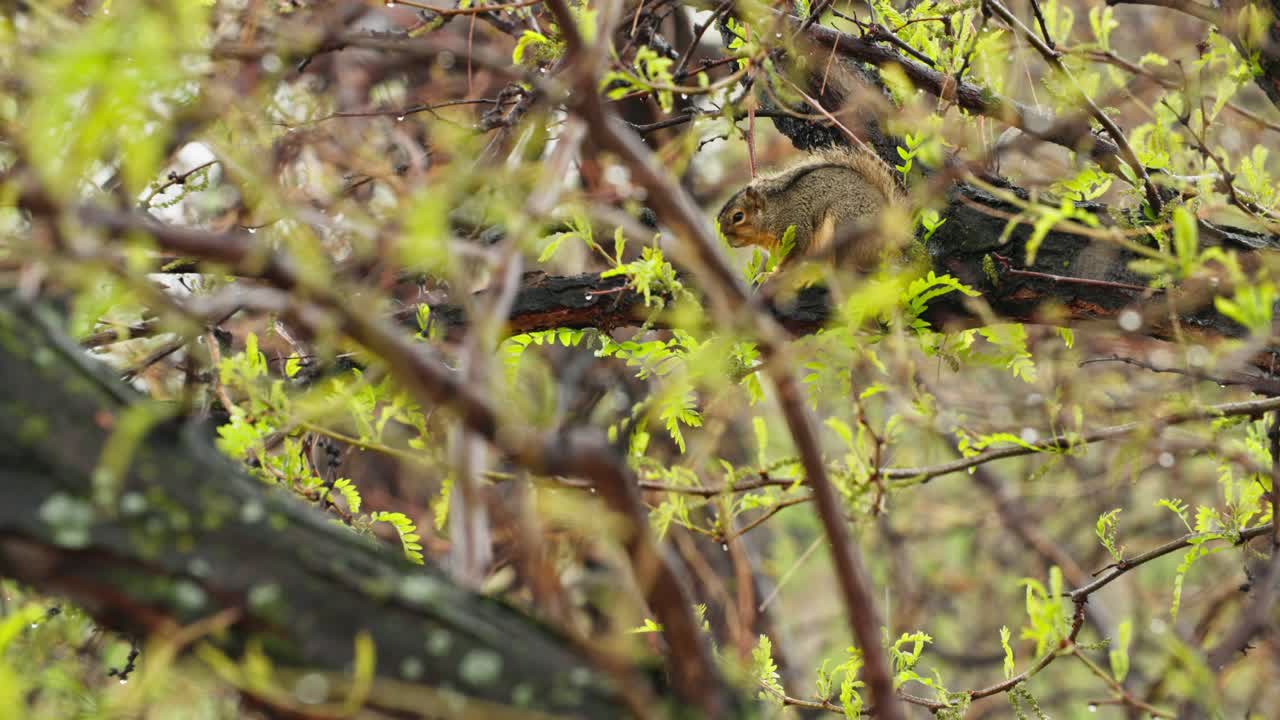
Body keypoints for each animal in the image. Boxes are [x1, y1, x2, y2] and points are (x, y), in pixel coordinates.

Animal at [716, 146, 906, 270]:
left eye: (738, 216)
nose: (726, 238)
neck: (772, 214)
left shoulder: (795, 226)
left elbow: (795, 254)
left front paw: (775, 273)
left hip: (845, 225)